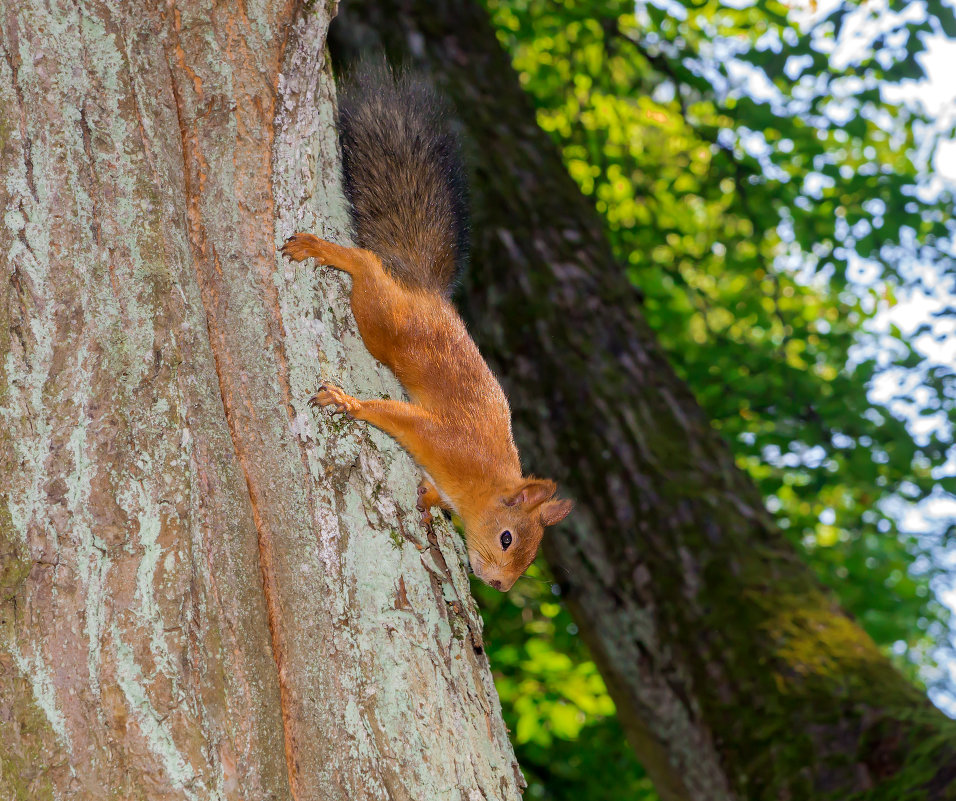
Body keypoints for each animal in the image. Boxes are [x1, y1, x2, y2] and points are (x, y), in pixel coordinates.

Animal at [280, 67, 572, 588]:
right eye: (507, 539)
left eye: (531, 557)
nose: (499, 585)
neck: (485, 480)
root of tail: (427, 292)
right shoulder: (442, 438)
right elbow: (389, 415)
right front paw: (349, 402)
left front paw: (429, 498)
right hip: (385, 321)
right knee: (366, 266)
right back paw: (324, 250)